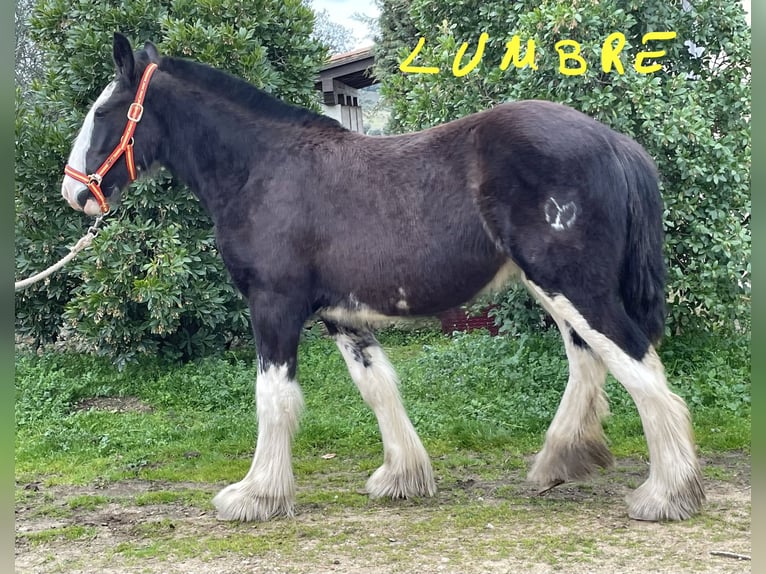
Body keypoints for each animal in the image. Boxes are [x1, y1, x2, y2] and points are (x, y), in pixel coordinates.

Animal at [61, 33, 704, 522]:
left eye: (101, 112)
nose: (75, 193)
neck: (263, 170)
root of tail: (614, 142)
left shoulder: (273, 305)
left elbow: (274, 399)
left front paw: (256, 495)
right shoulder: (340, 314)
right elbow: (378, 387)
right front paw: (402, 476)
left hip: (572, 284)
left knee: (638, 366)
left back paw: (665, 493)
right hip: (555, 287)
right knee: (589, 359)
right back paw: (559, 462)